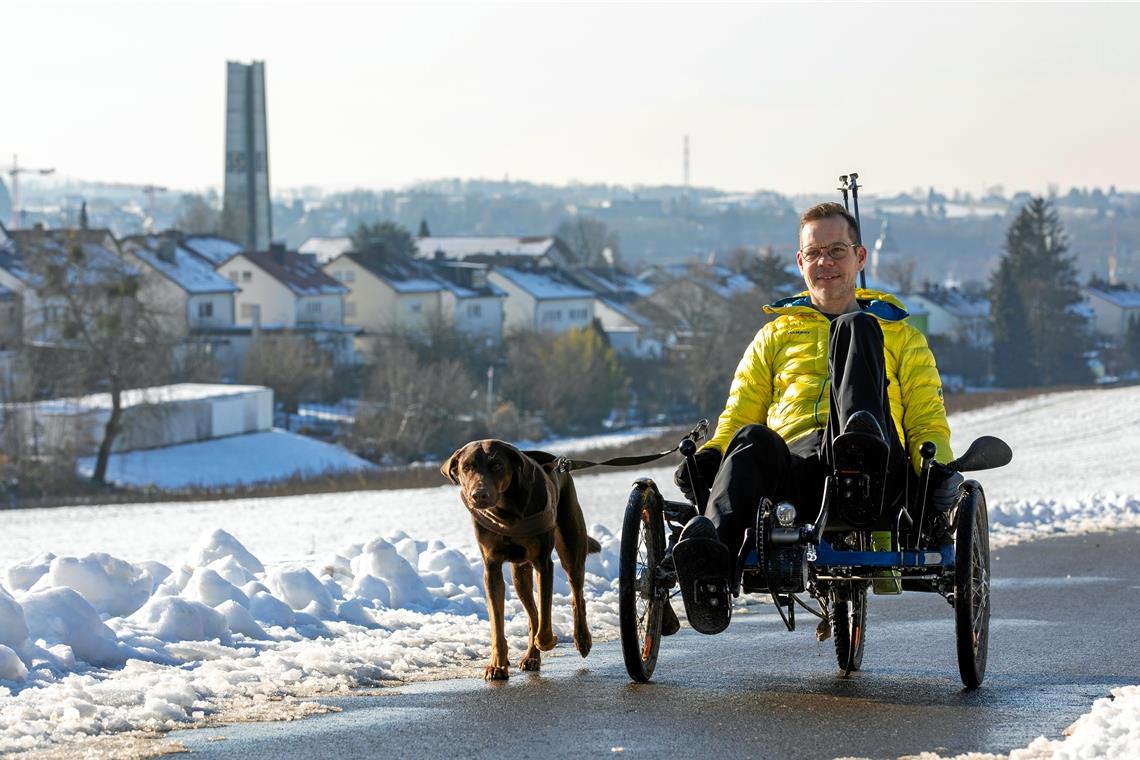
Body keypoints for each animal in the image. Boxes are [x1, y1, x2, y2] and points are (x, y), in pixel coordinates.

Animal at [442, 439, 606, 683]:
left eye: (497, 465)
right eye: (466, 467)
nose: (479, 495)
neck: (505, 512)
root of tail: (559, 463)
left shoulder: (543, 563)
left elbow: (545, 621)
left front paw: (547, 641)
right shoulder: (491, 567)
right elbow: (498, 623)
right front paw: (497, 665)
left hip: (571, 545)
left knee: (576, 594)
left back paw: (581, 639)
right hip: (519, 573)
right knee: (532, 611)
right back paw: (531, 656)